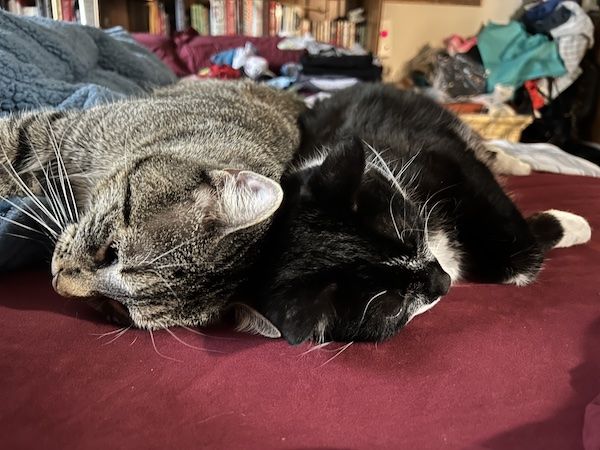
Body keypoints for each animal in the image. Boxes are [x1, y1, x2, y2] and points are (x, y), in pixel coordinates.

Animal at [236, 83, 592, 344]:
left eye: (408, 231)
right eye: (392, 307)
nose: (443, 282)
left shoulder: (448, 159)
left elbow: (514, 253)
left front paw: (575, 225)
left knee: (482, 147)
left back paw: (515, 162)